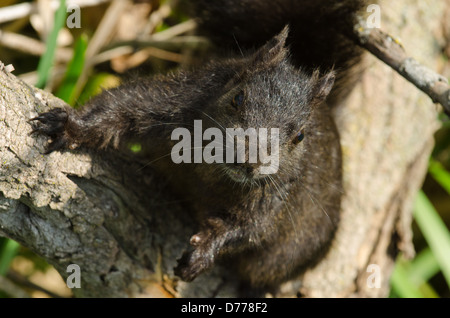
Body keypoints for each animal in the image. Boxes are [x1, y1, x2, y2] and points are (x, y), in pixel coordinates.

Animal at [30, 0, 370, 294]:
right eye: (237, 97)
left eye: (299, 136)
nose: (249, 160)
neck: (212, 170)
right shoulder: (178, 99)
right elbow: (123, 106)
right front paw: (71, 127)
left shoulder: (276, 194)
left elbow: (248, 228)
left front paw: (203, 253)